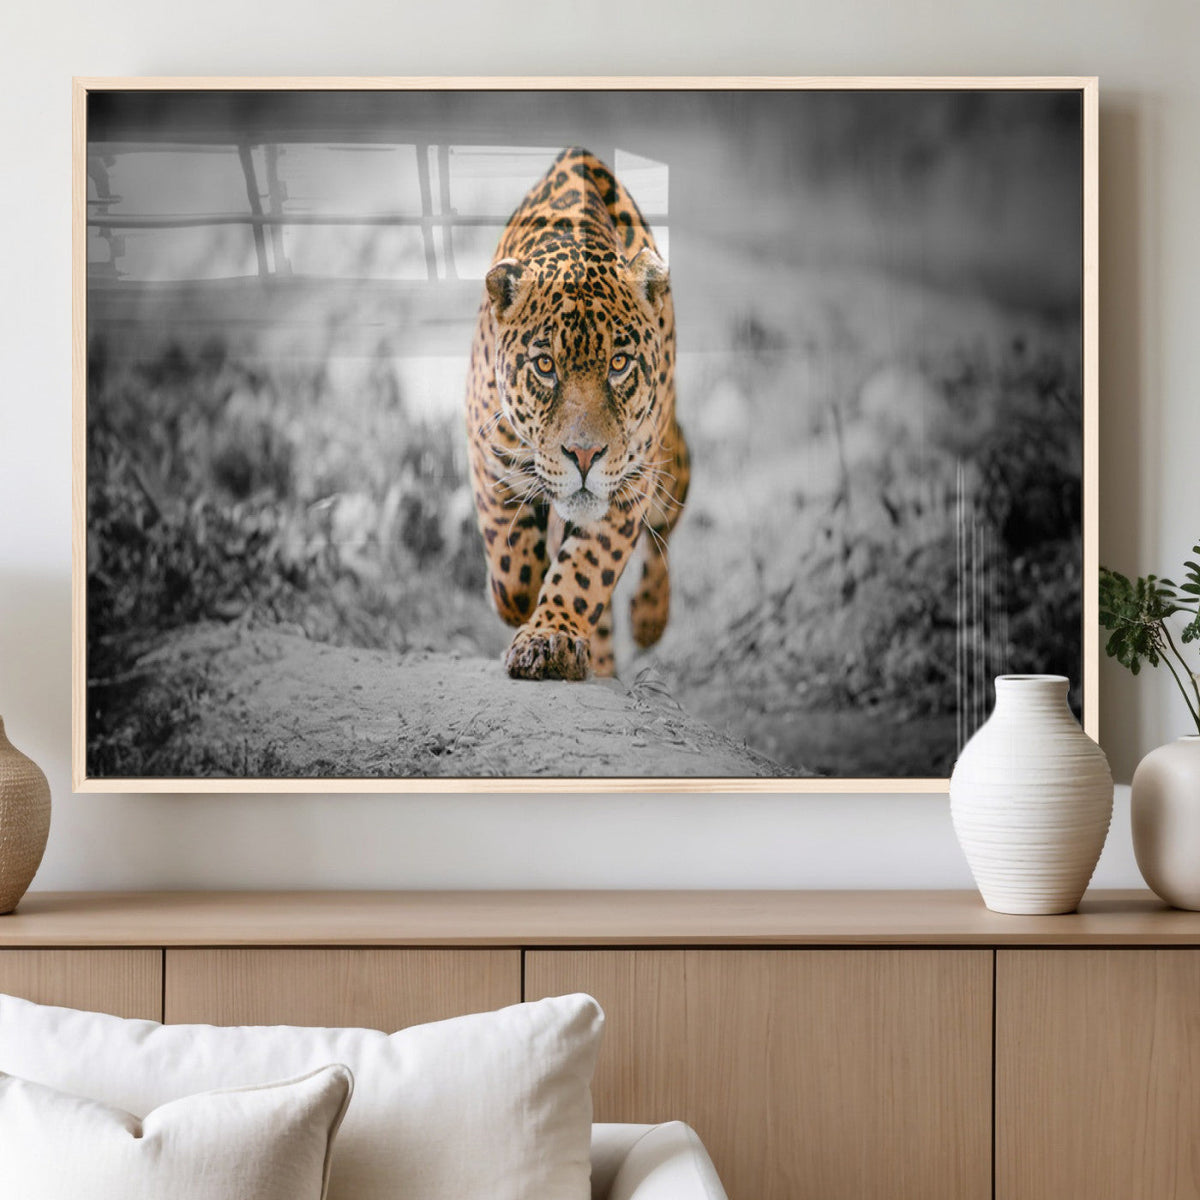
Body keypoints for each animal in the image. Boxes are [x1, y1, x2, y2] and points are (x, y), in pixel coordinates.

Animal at [464, 146, 690, 681]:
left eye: (619, 364)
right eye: (545, 366)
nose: (584, 456)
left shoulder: (630, 483)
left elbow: (586, 570)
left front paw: (550, 638)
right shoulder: (487, 453)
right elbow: (511, 562)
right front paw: (518, 604)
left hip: (670, 463)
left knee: (666, 528)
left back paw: (648, 619)